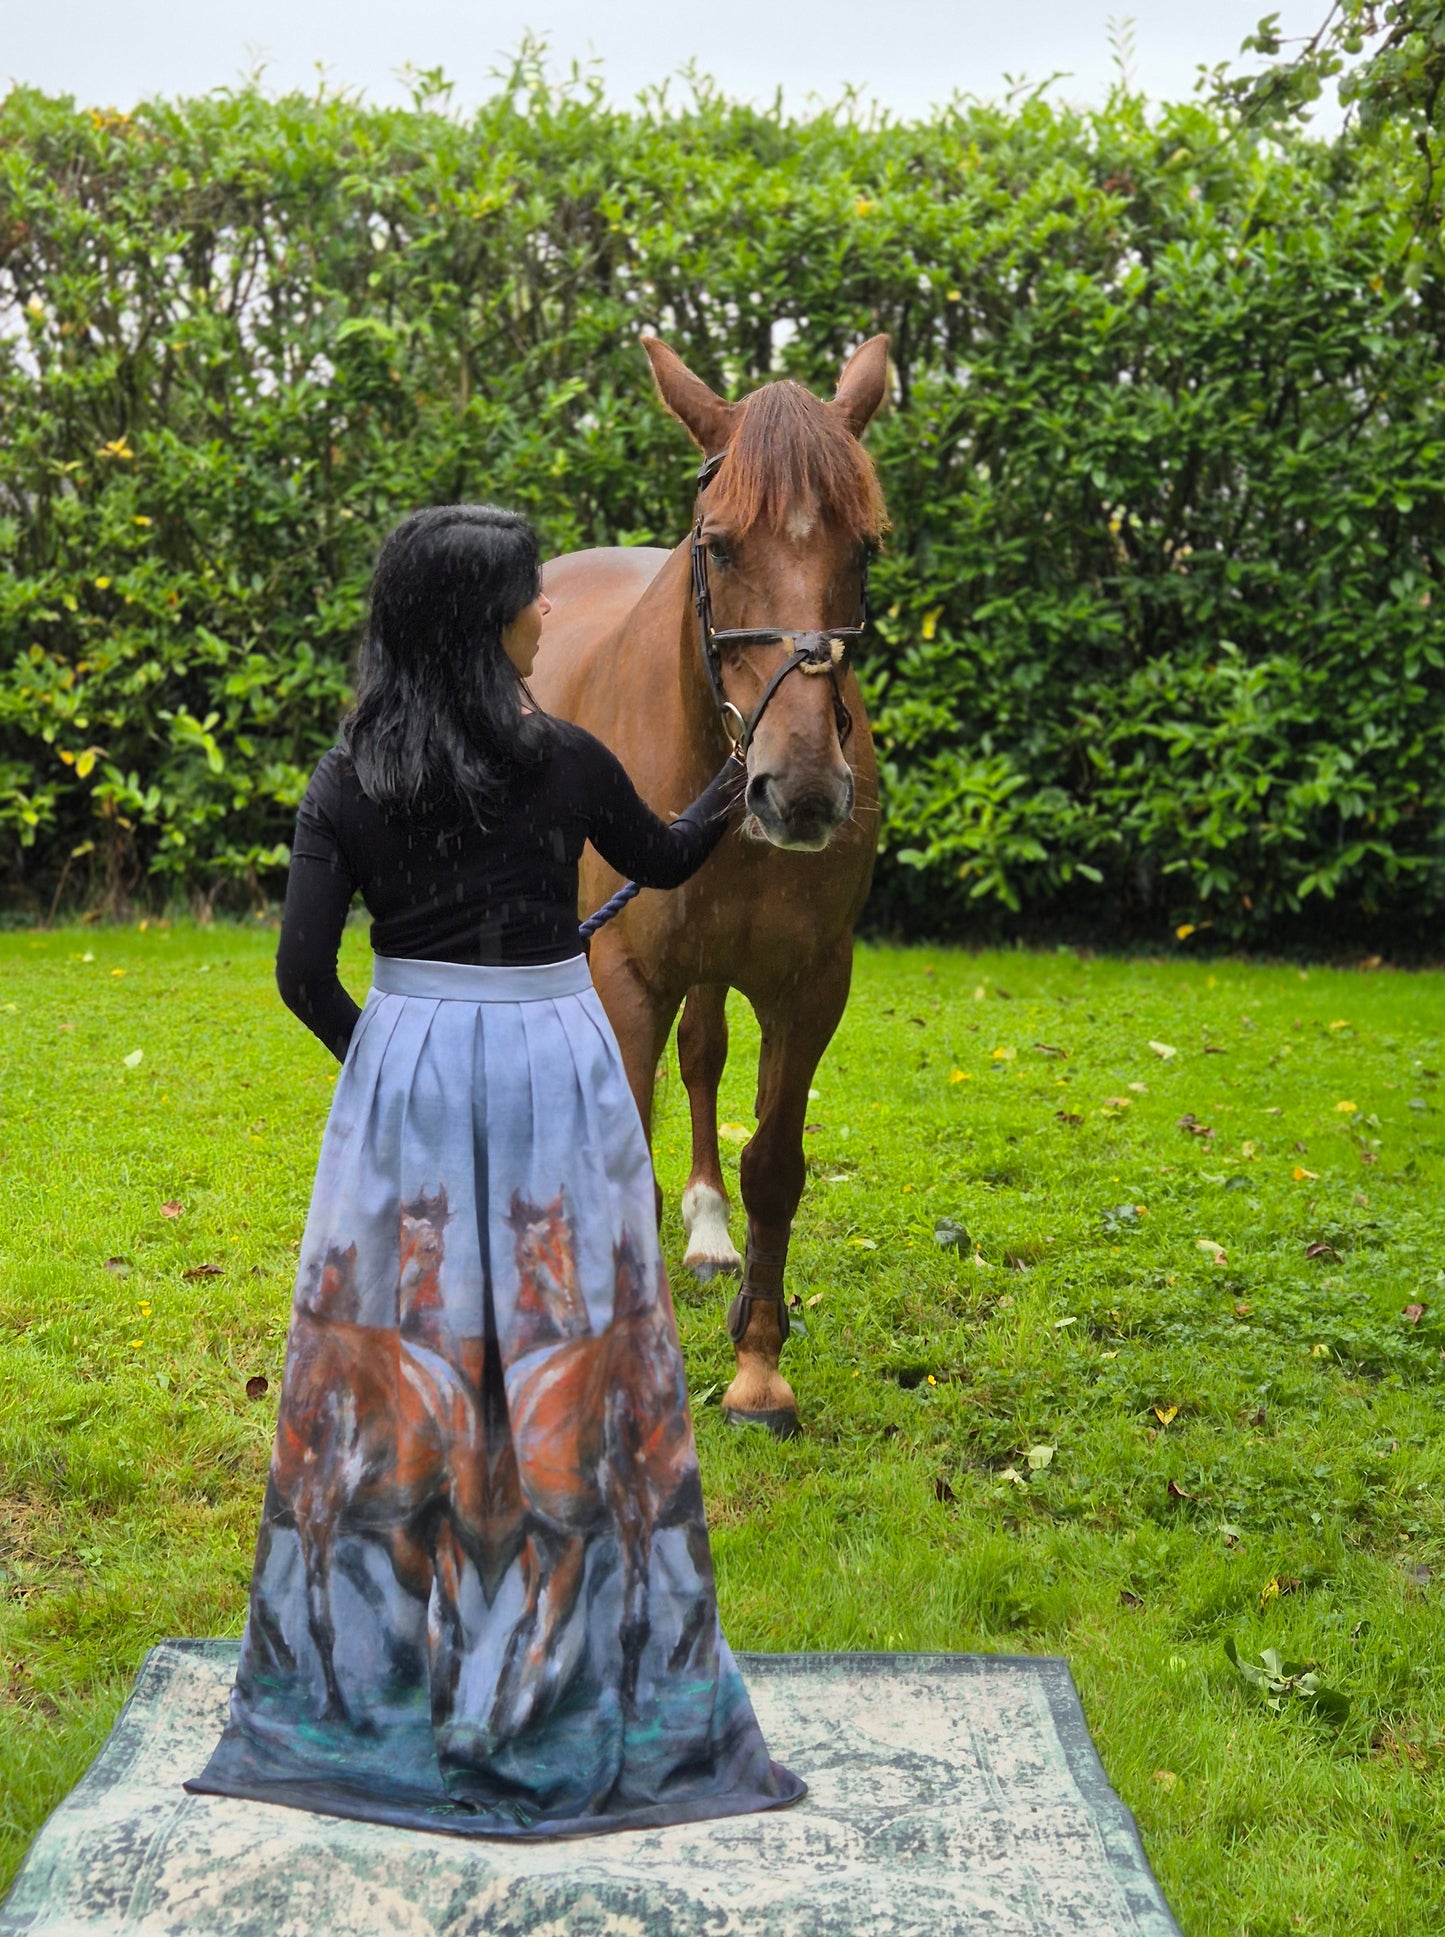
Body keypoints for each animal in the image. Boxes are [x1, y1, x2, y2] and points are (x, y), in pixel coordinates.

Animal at [488, 1190, 714, 1746]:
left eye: (571, 1245)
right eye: (527, 1254)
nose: (575, 1319)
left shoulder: (676, 1516)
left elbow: (696, 1600)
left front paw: (678, 1669)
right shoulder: (631, 1521)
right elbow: (634, 1625)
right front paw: (632, 1707)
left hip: (565, 1545)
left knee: (537, 1628)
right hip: (553, 1542)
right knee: (530, 1627)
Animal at [531, 333, 890, 1437]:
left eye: (865, 549)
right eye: (720, 546)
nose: (802, 789)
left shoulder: (809, 984)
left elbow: (772, 1167)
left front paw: (757, 1367)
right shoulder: (623, 974)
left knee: (700, 1055)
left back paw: (704, 1230)